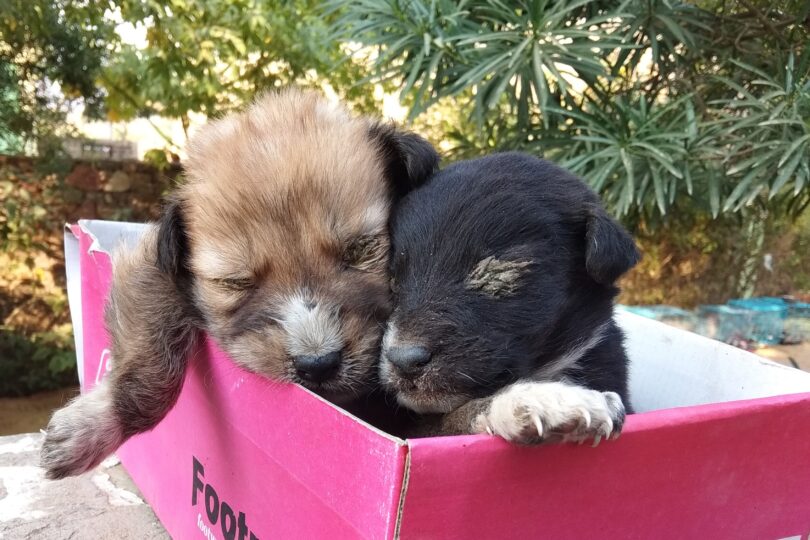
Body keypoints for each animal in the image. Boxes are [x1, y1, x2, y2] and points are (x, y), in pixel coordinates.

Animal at [41, 89, 438, 480]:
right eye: (236, 281)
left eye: (360, 249)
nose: (317, 364)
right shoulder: (153, 267)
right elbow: (149, 357)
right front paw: (94, 427)